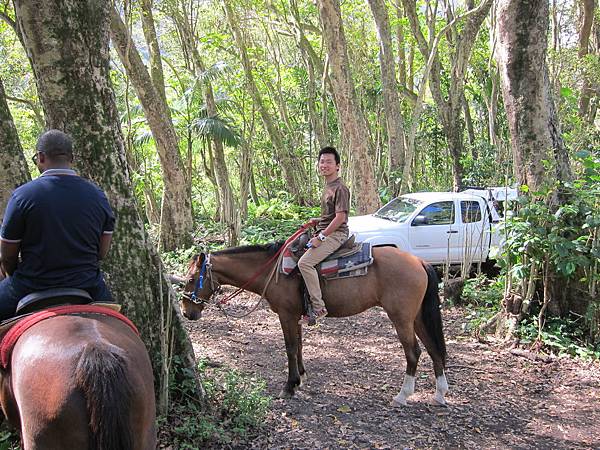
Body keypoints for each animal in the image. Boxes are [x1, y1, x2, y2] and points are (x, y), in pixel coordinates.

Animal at [180, 244, 448, 406]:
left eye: (192, 279)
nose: (186, 312)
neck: (274, 272)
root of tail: (419, 262)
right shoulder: (295, 316)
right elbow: (299, 346)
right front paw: (301, 377)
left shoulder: (286, 315)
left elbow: (290, 348)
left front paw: (289, 386)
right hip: (417, 317)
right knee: (434, 350)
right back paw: (440, 394)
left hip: (401, 318)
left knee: (414, 353)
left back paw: (402, 395)